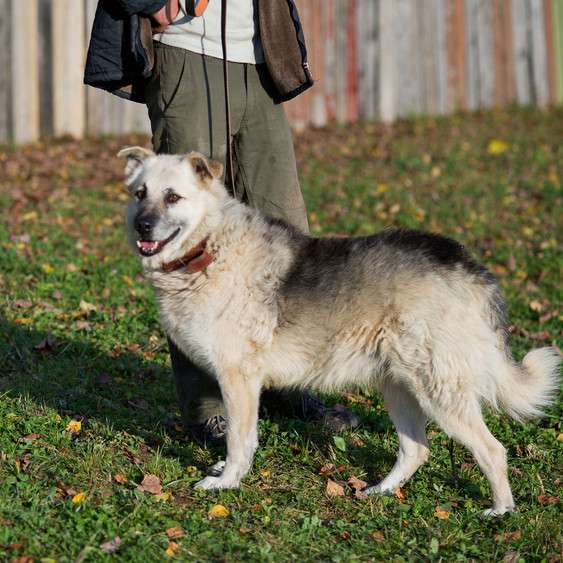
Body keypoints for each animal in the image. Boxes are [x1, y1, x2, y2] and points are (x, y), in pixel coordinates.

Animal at [118, 148, 560, 516]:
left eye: (173, 197)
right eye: (140, 193)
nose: (142, 225)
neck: (209, 248)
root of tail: (469, 265)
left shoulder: (238, 380)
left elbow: (240, 440)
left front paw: (227, 482)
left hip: (438, 391)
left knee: (493, 450)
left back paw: (500, 511)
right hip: (398, 386)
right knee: (416, 449)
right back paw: (381, 491)